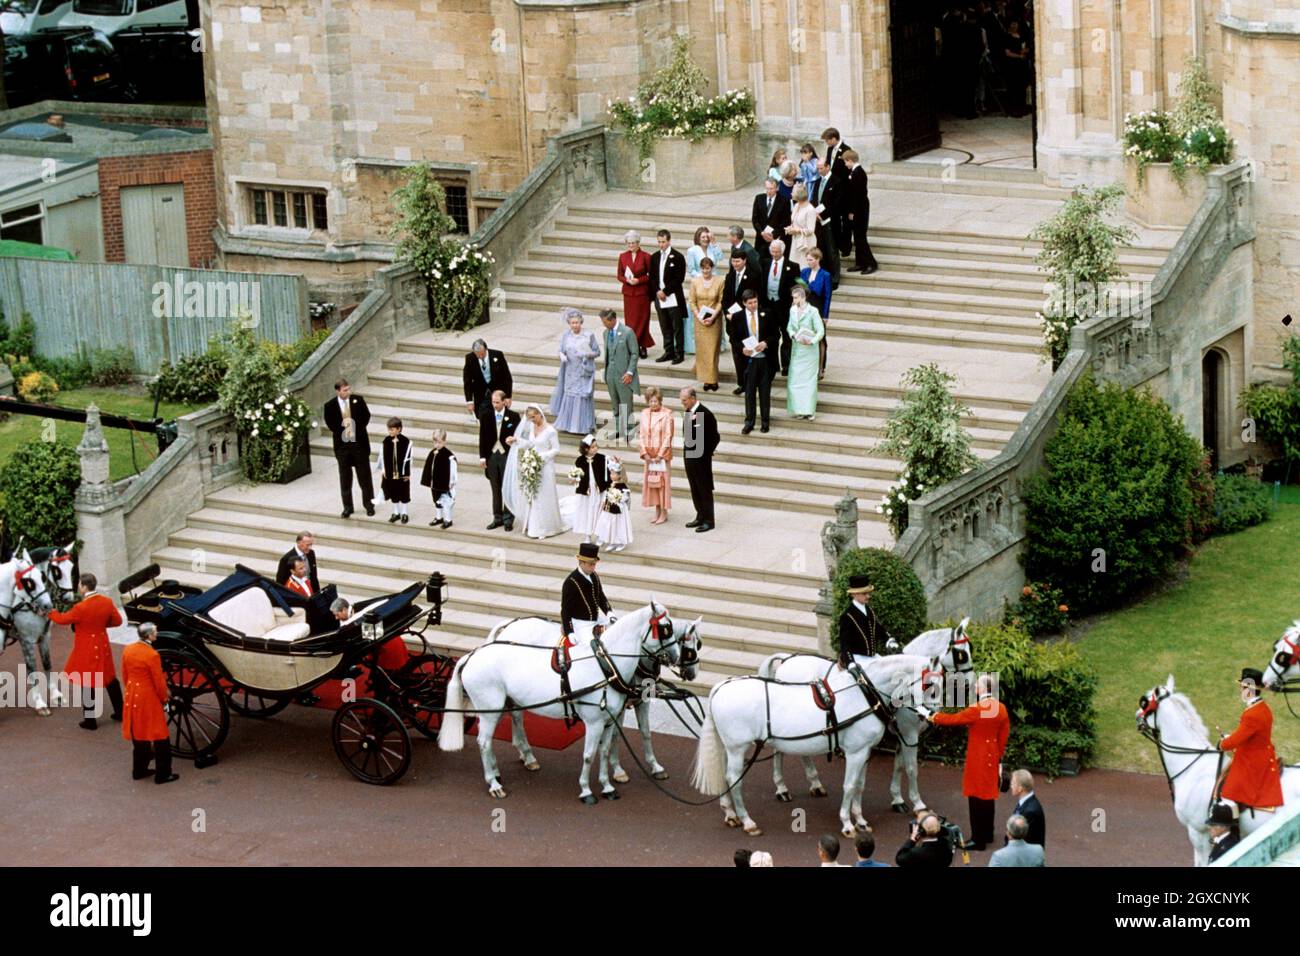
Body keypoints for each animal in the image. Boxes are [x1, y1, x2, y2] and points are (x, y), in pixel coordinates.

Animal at [436, 606, 681, 801]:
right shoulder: (594, 723)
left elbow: (604, 751)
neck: (605, 666)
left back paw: (509, 766)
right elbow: (589, 755)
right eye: (666, 628)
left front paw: (608, 786)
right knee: (484, 742)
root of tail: (472, 655)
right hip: (489, 712)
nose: (677, 657)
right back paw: (494, 783)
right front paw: (586, 790)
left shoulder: (608, 720)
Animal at [696, 655, 930, 832]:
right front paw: (847, 823)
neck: (864, 694)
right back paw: (747, 821)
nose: (927, 718)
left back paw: (730, 814)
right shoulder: (855, 753)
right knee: (734, 779)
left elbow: (859, 786)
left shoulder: (864, 752)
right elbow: (849, 785)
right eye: (927, 685)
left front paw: (860, 820)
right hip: (737, 749)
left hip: (728, 748)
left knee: (725, 776)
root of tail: (720, 686)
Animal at [754, 621, 977, 816]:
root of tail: (787, 659)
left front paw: (897, 799)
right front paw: (918, 803)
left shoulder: (901, 735)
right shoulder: (909, 734)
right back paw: (782, 788)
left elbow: (899, 766)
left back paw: (814, 784)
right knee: (779, 750)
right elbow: (911, 769)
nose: (969, 684)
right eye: (962, 654)